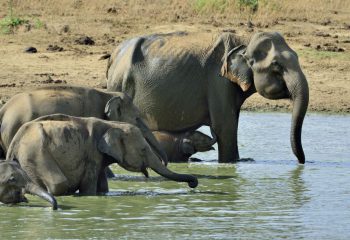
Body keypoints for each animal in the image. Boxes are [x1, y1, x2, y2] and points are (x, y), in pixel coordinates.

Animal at [0, 85, 167, 163]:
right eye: (137, 118)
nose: (164, 162)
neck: (108, 94)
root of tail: (4, 108)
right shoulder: (92, 112)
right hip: (13, 129)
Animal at [0, 113, 197, 209]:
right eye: (143, 150)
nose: (193, 183)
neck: (112, 124)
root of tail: (16, 139)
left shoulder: (99, 156)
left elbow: (103, 188)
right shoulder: (91, 153)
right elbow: (89, 188)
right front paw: (88, 197)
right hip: (36, 153)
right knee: (58, 184)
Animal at [106, 31, 308, 163]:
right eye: (276, 66)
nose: (301, 162)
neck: (245, 39)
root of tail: (113, 55)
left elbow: (231, 123)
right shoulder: (218, 81)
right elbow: (225, 127)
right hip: (118, 84)